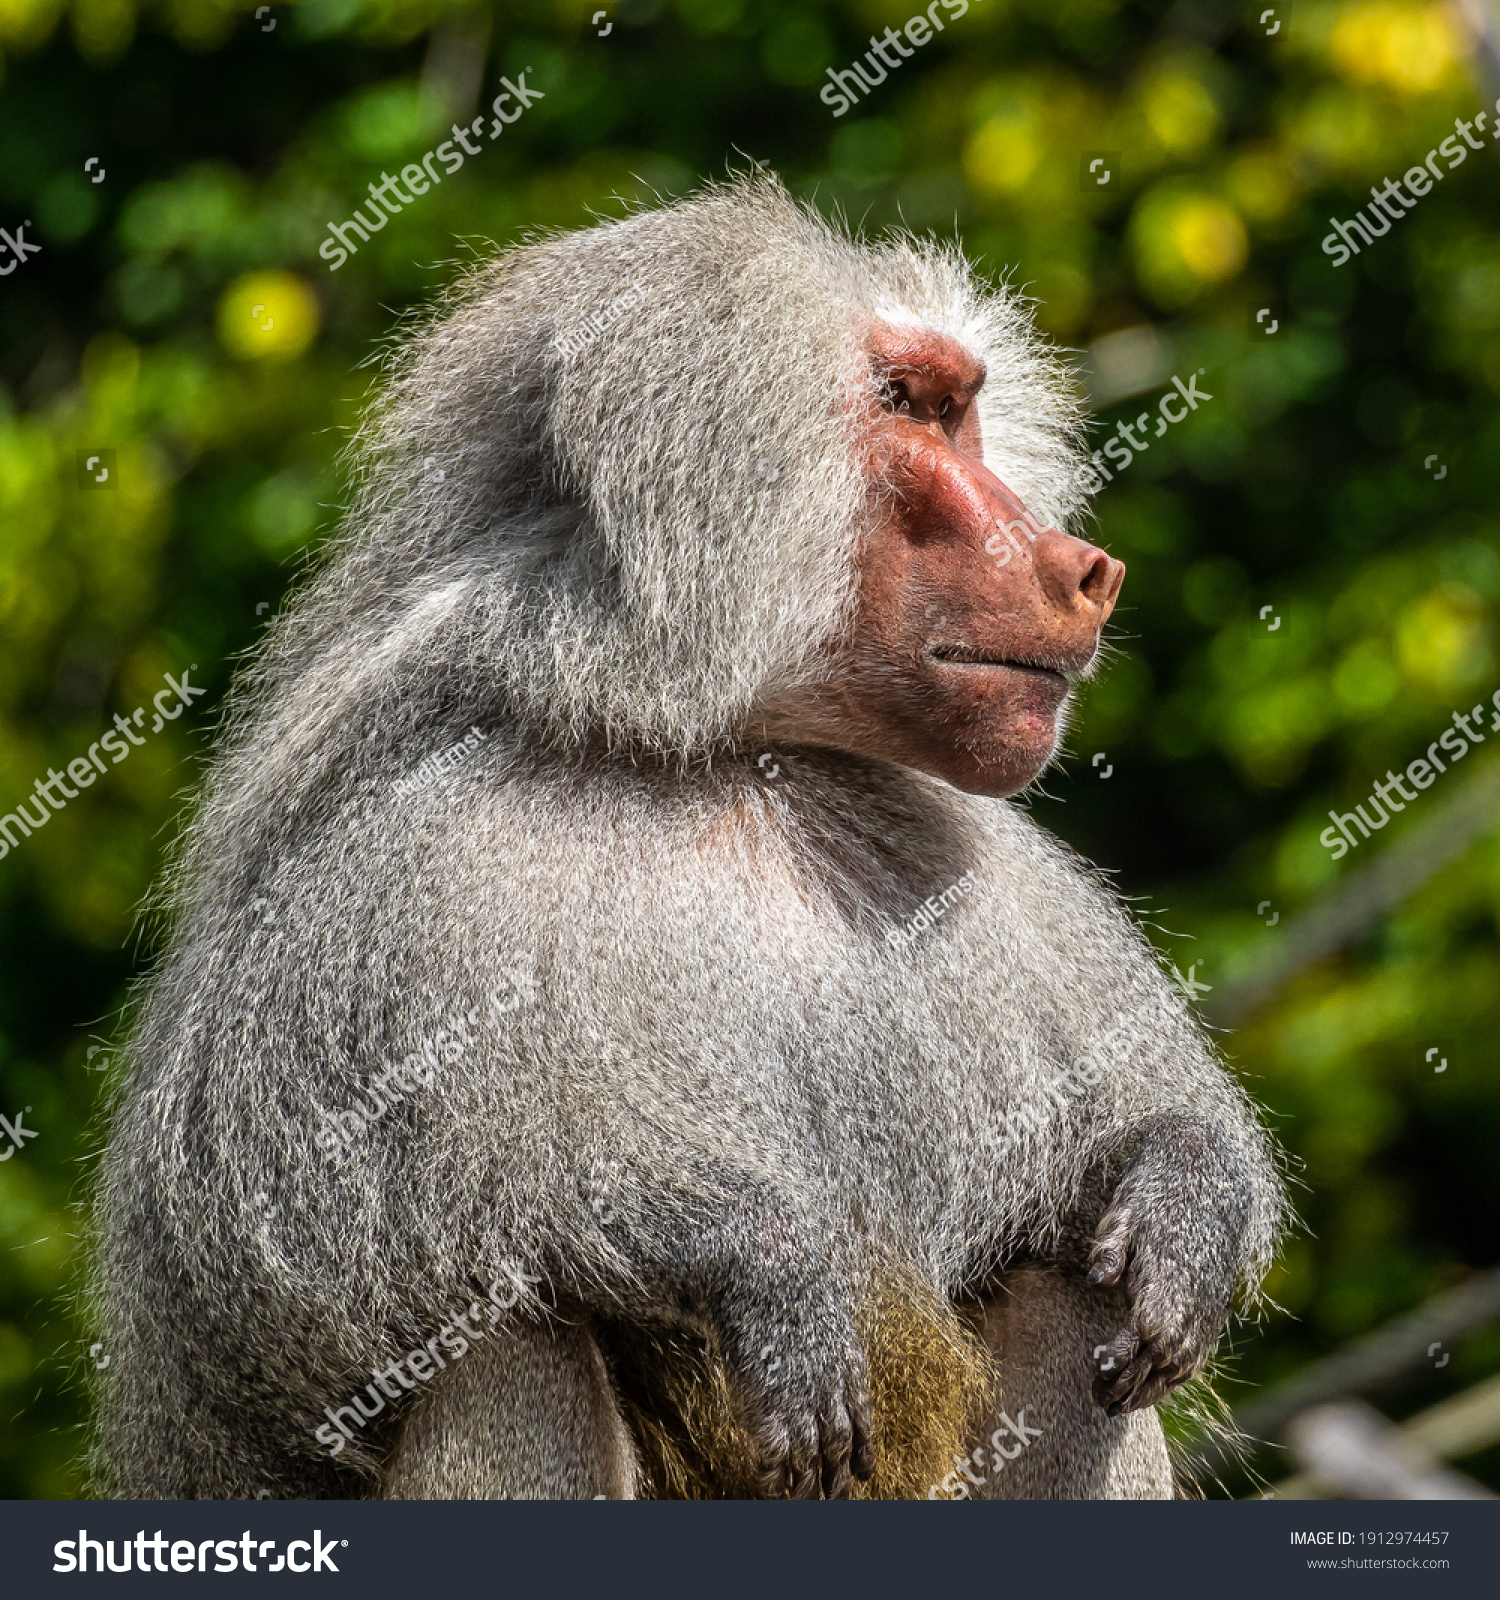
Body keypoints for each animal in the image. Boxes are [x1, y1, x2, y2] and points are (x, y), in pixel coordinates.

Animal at [89, 173, 1286, 1502]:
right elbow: (268, 1226)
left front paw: (1189, 1190)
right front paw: (759, 1259)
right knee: (502, 1333)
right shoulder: (395, 858)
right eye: (904, 406)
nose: (1087, 570)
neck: (723, 761)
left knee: (1084, 1300)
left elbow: (1103, 1171)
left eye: (962, 408)